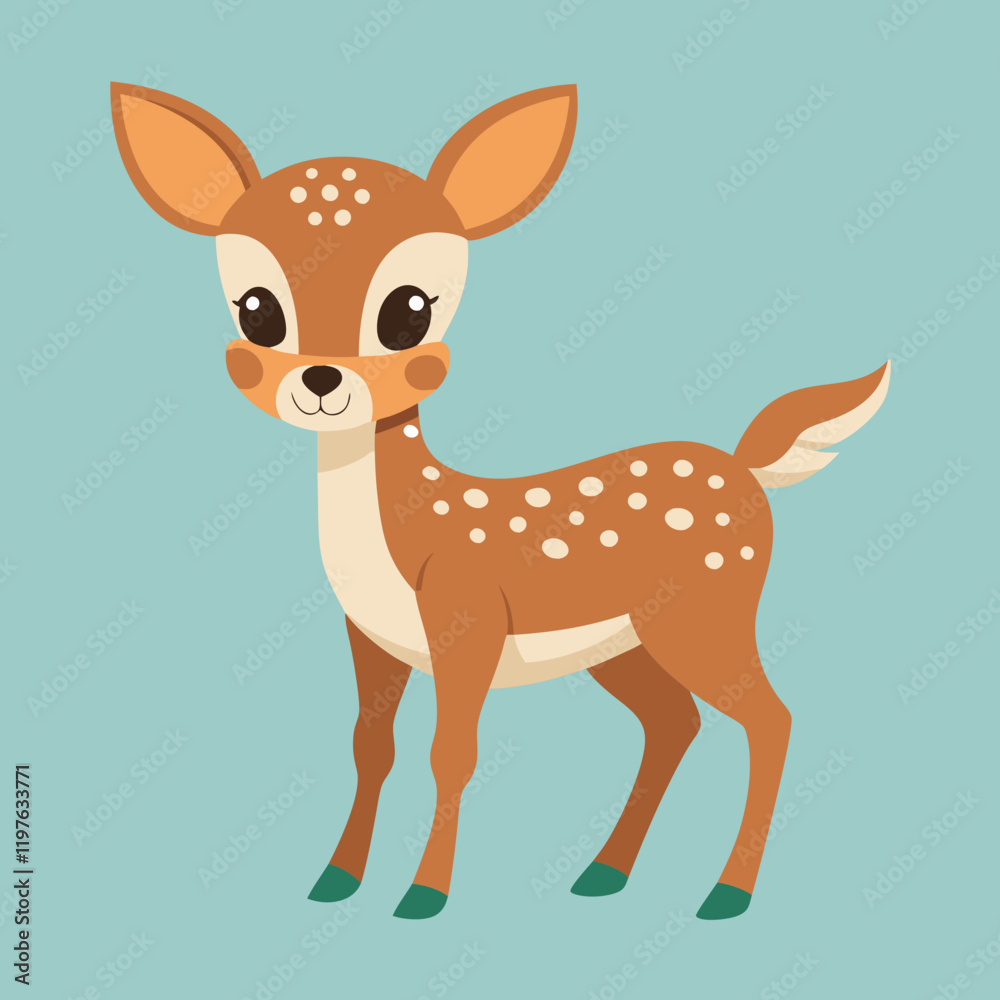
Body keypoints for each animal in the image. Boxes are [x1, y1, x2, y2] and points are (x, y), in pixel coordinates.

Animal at [111, 81, 889, 921]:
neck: (401, 532)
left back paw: (727, 893)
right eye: (256, 309)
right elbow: (369, 745)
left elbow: (450, 752)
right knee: (673, 722)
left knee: (770, 718)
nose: (321, 380)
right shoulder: (370, 637)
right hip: (625, 643)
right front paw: (335, 879)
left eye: (408, 311)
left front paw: (423, 894)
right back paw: (604, 873)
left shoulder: (469, 617)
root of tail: (745, 468)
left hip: (709, 609)